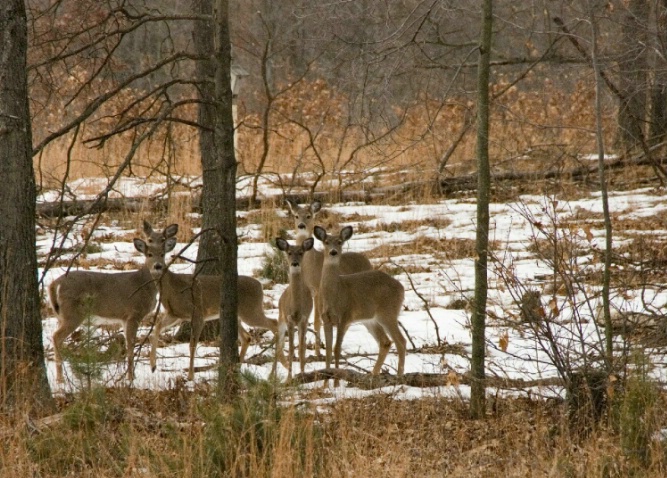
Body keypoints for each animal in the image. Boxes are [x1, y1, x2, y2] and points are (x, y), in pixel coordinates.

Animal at [48, 222, 176, 382]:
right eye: (149, 254)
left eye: (163, 254)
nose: (158, 266)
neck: (144, 283)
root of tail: (54, 284)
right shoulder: (133, 313)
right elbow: (131, 346)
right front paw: (130, 378)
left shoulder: (124, 318)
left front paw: (130, 375)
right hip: (73, 313)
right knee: (56, 337)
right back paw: (61, 380)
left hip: (60, 314)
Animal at [146, 220, 280, 380]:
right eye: (149, 241)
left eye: (162, 244)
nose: (157, 265)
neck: (173, 286)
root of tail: (260, 286)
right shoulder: (175, 314)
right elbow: (157, 326)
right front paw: (152, 365)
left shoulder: (198, 311)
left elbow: (192, 344)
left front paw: (190, 376)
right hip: (236, 314)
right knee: (247, 337)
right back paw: (237, 368)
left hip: (251, 311)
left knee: (274, 324)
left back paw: (272, 374)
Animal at [270, 235, 314, 378]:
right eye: (289, 253)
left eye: (300, 252)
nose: (295, 263)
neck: (296, 309)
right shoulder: (289, 319)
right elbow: (290, 349)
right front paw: (289, 378)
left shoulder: (304, 319)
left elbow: (300, 349)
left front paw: (302, 373)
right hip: (280, 317)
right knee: (278, 343)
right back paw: (271, 376)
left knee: (301, 344)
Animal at [284, 197, 374, 354]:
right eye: (296, 216)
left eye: (309, 216)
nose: (301, 225)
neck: (312, 265)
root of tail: (366, 259)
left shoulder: (318, 290)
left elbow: (317, 321)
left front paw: (317, 352)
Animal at [314, 226, 408, 376]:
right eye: (326, 242)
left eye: (340, 242)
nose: (333, 252)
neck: (334, 294)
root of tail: (401, 287)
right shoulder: (326, 319)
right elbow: (328, 352)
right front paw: (327, 377)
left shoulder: (345, 317)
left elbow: (336, 349)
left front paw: (336, 378)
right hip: (370, 319)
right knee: (385, 342)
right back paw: (373, 375)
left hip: (388, 313)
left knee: (401, 341)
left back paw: (399, 375)